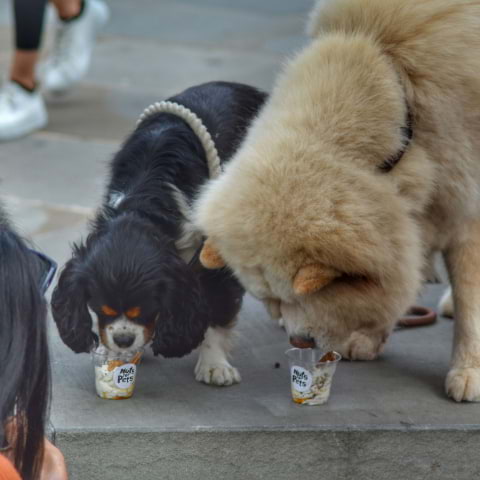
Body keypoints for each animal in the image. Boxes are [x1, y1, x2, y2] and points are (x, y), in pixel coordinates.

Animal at [52, 80, 268, 384]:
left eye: (144, 308)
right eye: (101, 309)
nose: (123, 339)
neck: (145, 204)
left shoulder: (214, 258)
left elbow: (217, 309)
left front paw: (214, 364)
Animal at [193, 0, 480, 402]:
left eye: (308, 297)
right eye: (271, 301)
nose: (299, 340)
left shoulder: (463, 201)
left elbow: (470, 297)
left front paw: (468, 370)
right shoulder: (404, 217)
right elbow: (397, 273)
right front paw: (371, 336)